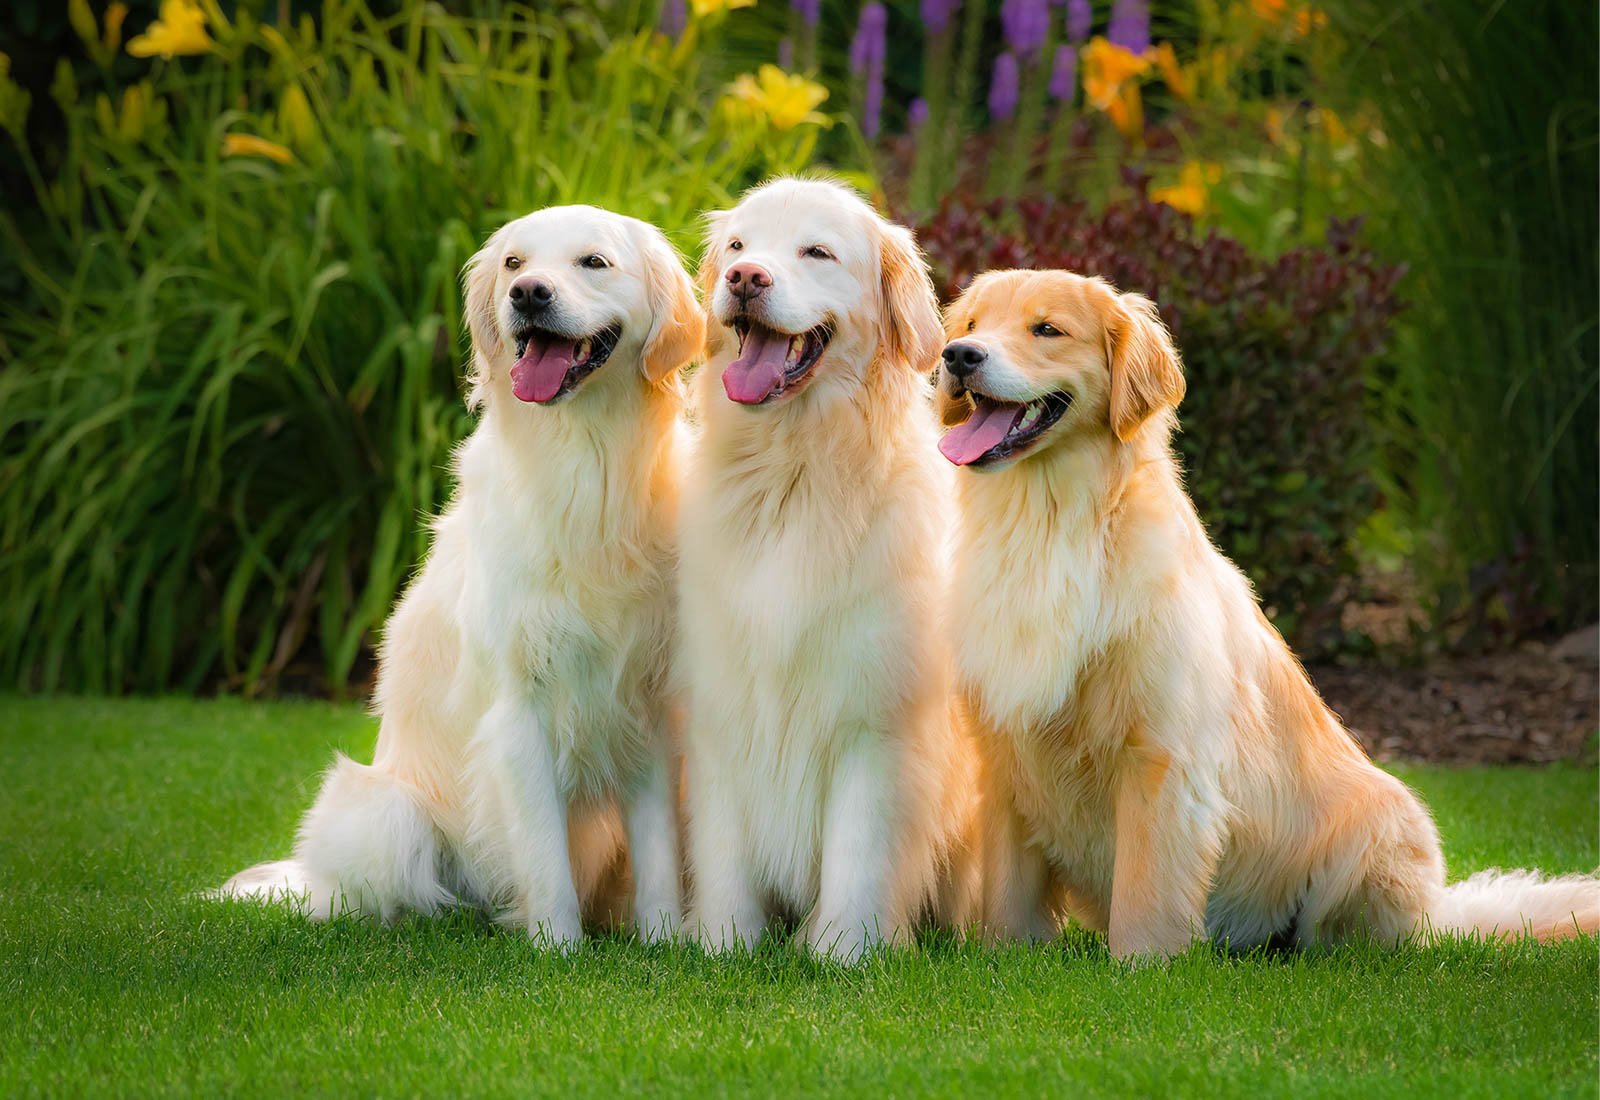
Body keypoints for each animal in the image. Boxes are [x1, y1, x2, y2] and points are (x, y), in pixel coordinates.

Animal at [222, 206, 704, 946]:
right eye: (514, 263)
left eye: (593, 262)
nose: (528, 294)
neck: (585, 466)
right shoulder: (519, 710)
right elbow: (544, 854)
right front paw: (560, 948)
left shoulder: (643, 701)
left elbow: (656, 850)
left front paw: (664, 942)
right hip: (387, 812)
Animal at [678, 175, 985, 959]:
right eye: (738, 245)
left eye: (816, 252)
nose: (744, 278)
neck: (795, 473)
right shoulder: (720, 706)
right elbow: (724, 851)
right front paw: (723, 943)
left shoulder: (873, 718)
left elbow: (859, 851)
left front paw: (846, 950)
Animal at [934, 270, 1600, 959]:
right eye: (971, 325)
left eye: (1047, 329)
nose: (957, 357)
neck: (1050, 523)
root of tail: (1438, 916)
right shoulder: (1005, 753)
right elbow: (1009, 898)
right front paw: (1006, 958)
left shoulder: (1162, 756)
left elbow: (1146, 901)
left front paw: (1141, 968)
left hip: (1383, 818)